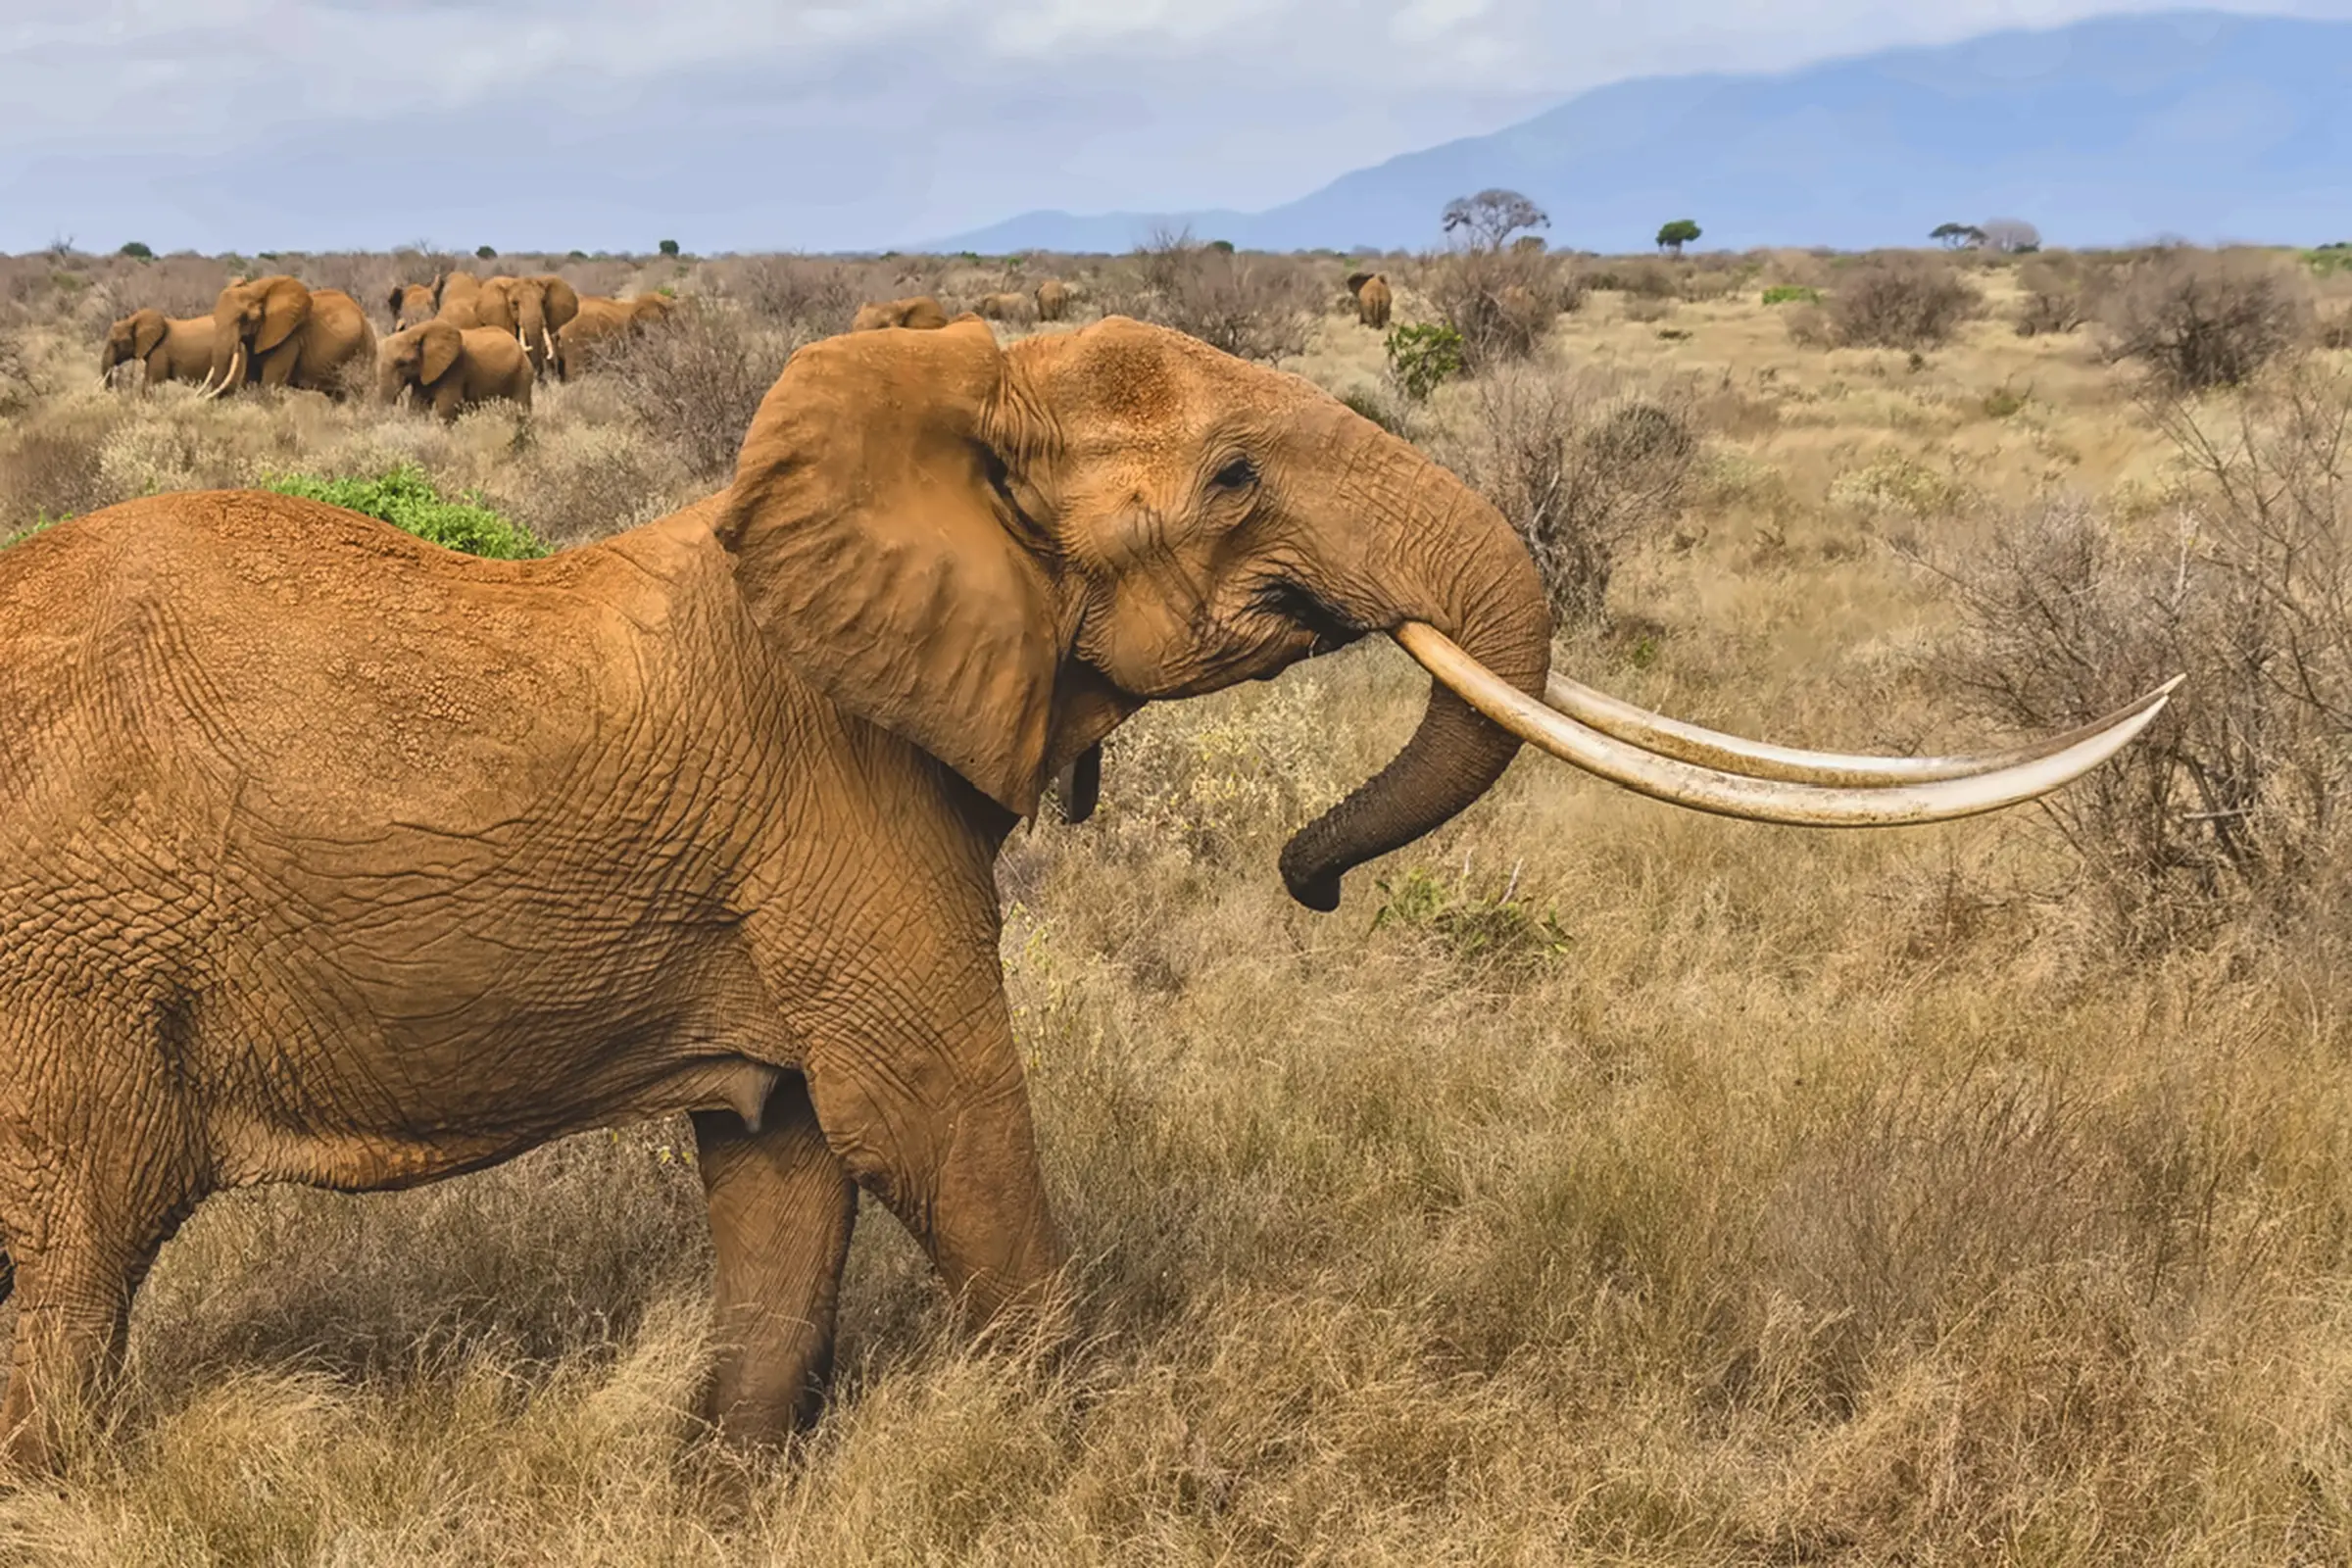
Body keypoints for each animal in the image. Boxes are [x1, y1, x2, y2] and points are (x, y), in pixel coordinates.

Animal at [200, 276, 377, 401]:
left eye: (244, 318)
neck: (257, 288)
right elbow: (250, 379)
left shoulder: (290, 337)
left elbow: (269, 383)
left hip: (365, 346)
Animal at [378, 319, 534, 420]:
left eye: (403, 363)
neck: (415, 331)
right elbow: (418, 405)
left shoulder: (455, 369)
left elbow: (447, 408)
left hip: (523, 372)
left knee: (521, 408)